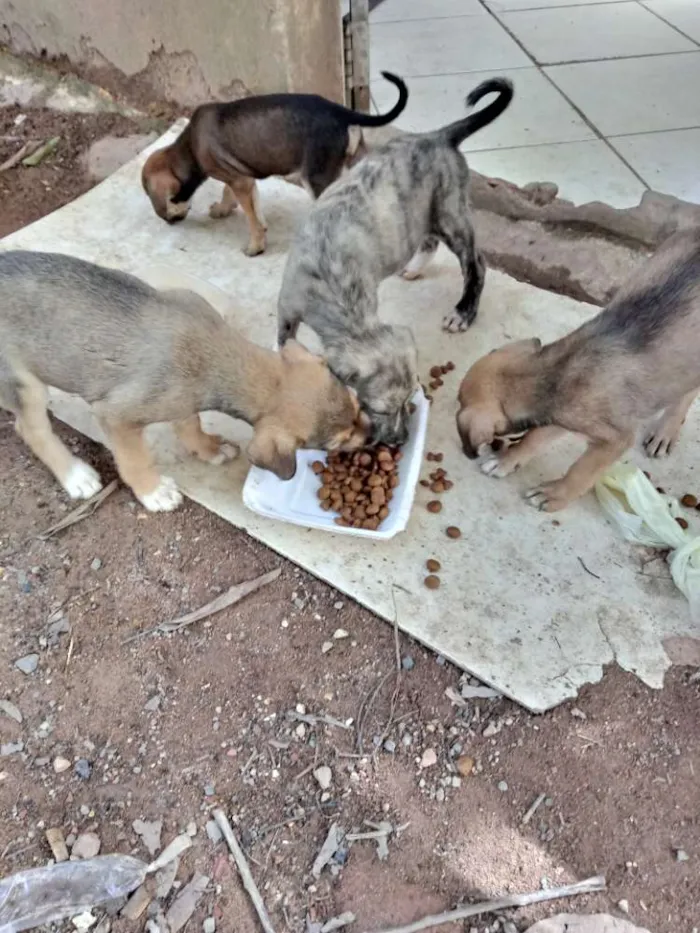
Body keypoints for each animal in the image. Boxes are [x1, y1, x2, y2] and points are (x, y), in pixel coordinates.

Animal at [0, 249, 370, 510]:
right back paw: (76, 476)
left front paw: (209, 449)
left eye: (356, 403)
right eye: (337, 442)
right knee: (31, 429)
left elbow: (189, 424)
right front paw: (152, 491)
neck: (216, 356)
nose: (375, 436)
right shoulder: (116, 416)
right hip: (24, 384)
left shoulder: (182, 399)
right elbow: (134, 459)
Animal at [139, 73, 408, 256]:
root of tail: (342, 112)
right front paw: (225, 211)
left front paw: (255, 246)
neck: (189, 150)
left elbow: (251, 218)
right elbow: (247, 204)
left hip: (317, 179)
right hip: (355, 163)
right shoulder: (242, 178)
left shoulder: (238, 180)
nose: (168, 222)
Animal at [278, 79, 516, 444]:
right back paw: (415, 269)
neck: (332, 278)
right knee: (431, 242)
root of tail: (438, 136)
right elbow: (282, 342)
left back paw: (463, 312)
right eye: (380, 409)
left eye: (408, 402)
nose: (402, 440)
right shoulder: (287, 307)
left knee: (476, 261)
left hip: (449, 212)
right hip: (423, 214)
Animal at [456, 228, 700, 512]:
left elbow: (581, 471)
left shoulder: (614, 439)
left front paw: (554, 494)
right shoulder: (559, 417)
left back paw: (665, 432)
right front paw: (507, 461)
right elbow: (533, 438)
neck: (553, 373)